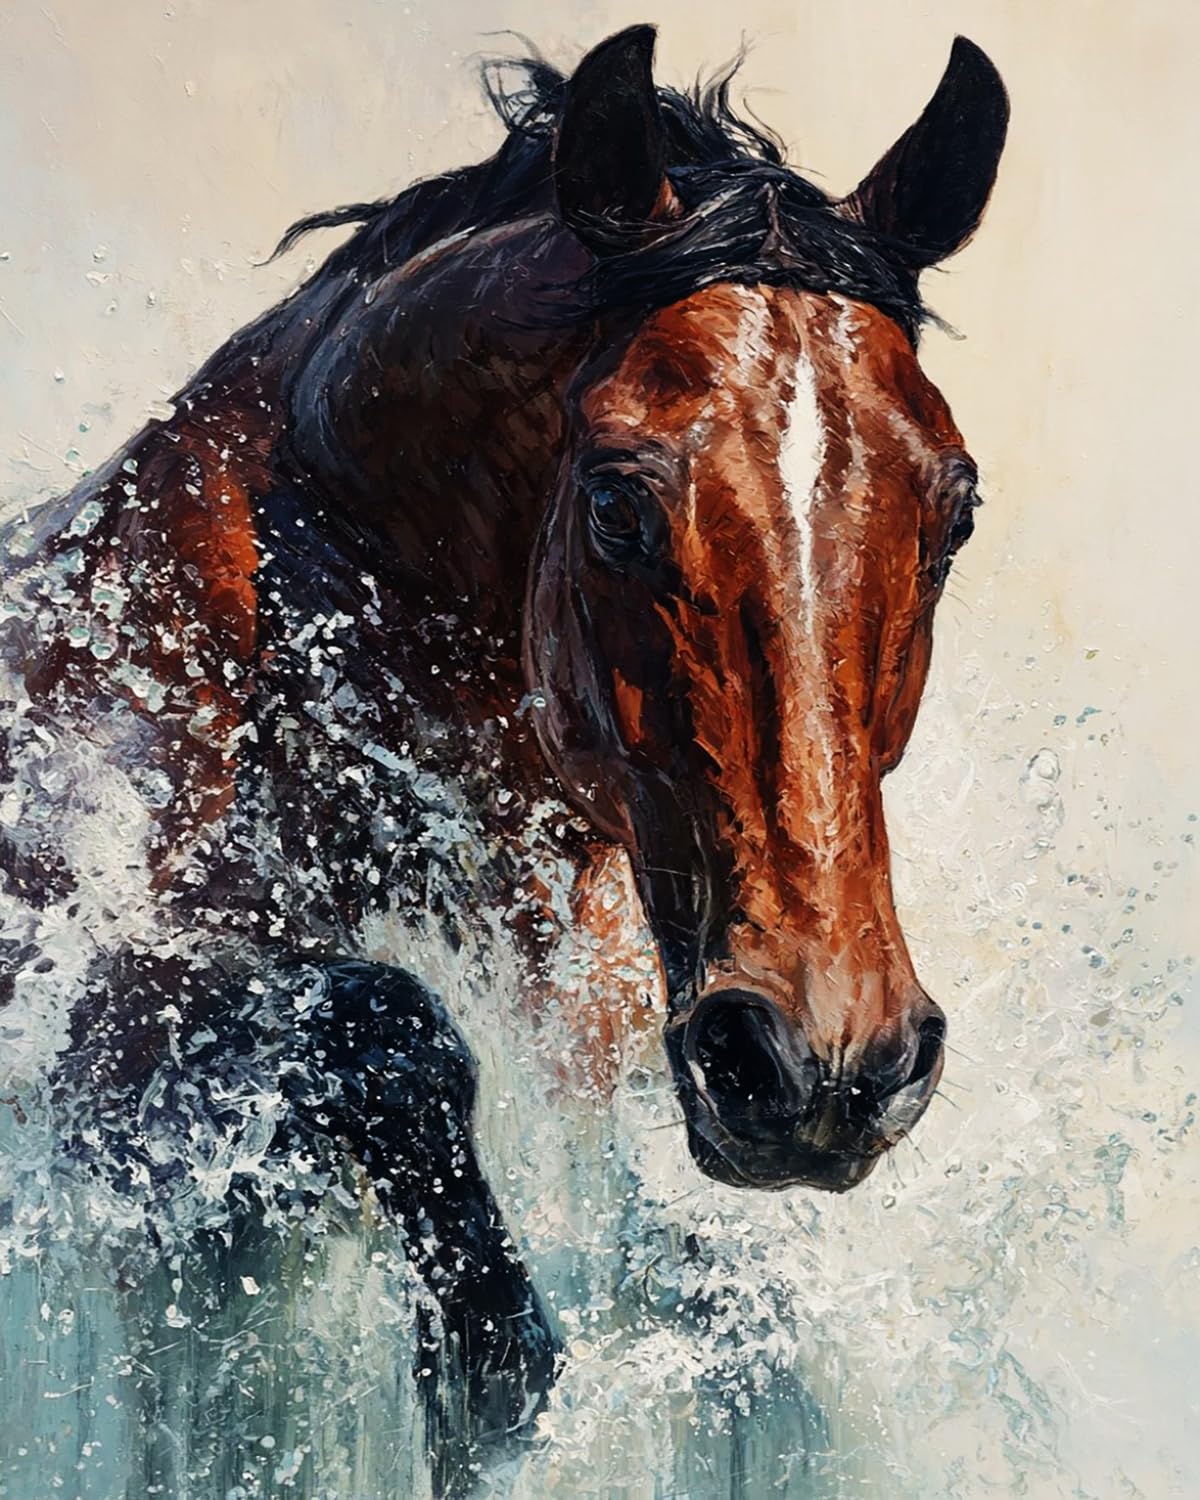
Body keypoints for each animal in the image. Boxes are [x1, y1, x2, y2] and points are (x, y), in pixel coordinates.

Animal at [0, 21, 1007, 1488]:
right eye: (618, 501)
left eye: (955, 509)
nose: (823, 1062)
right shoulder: (101, 1066)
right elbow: (389, 1029)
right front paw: (490, 1357)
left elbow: (718, 1308)